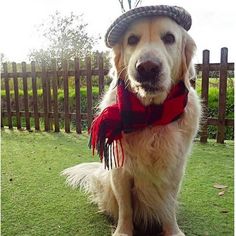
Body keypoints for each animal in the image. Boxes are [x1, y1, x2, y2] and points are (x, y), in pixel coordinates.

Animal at [62, 5, 201, 236]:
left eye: (169, 38)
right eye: (132, 39)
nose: (147, 67)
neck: (150, 115)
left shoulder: (174, 170)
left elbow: (168, 205)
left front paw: (173, 230)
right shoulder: (120, 171)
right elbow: (125, 207)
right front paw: (123, 231)